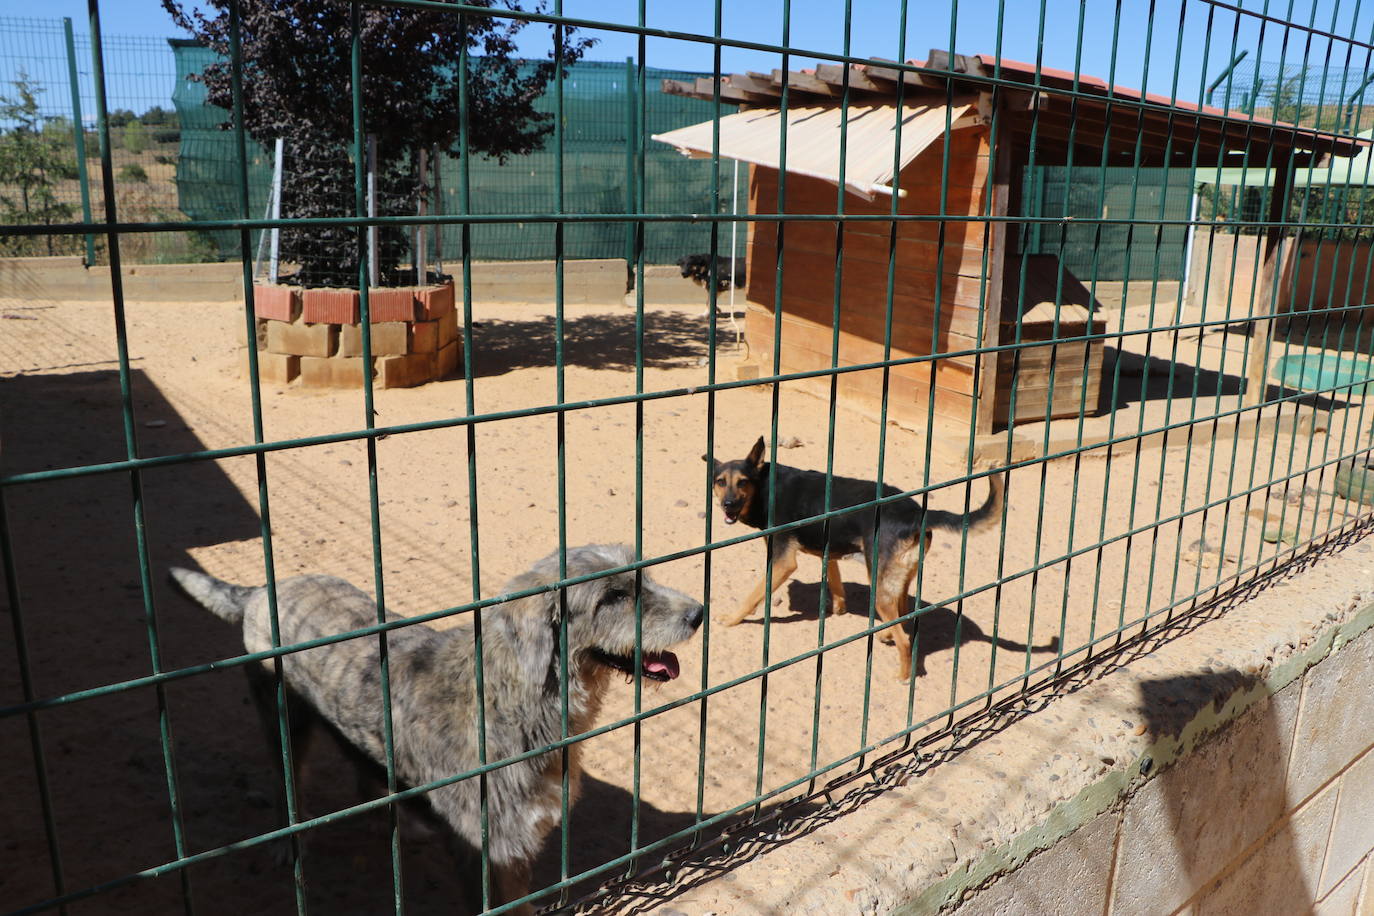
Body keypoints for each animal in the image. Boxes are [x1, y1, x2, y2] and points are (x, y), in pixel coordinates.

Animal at [171, 549, 703, 911]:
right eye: (614, 596)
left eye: (644, 577)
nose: (698, 613)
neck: (515, 696)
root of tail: (265, 588)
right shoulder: (490, 848)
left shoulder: (517, 844)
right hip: (283, 720)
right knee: (290, 786)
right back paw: (289, 843)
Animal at [703, 436, 1005, 681]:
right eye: (720, 482)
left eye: (742, 482)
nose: (727, 505)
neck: (765, 486)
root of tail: (917, 512)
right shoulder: (828, 548)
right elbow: (835, 580)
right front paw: (839, 607)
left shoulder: (782, 561)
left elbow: (753, 595)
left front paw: (731, 619)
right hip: (895, 578)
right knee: (903, 613)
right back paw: (886, 634)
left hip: (879, 585)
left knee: (906, 640)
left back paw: (903, 675)